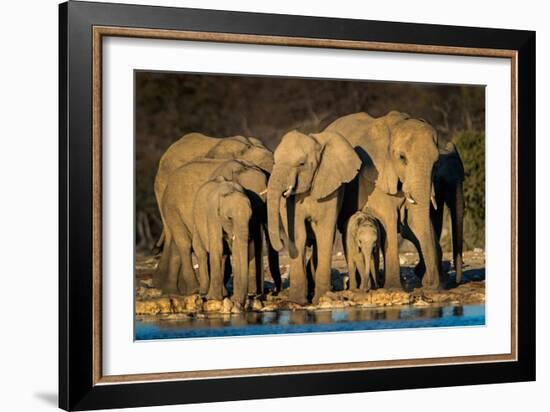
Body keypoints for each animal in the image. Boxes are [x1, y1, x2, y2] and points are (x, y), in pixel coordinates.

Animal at [155, 158, 282, 296]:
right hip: (172, 209)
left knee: (177, 245)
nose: (274, 291)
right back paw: (193, 290)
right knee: (185, 244)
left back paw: (172, 291)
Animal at [268, 130, 362, 304]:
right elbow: (299, 234)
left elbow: (324, 233)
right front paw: (298, 302)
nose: (281, 244)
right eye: (274, 162)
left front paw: (321, 298)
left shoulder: (331, 191)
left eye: (301, 164)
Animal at [328, 111, 444, 288]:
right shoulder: (374, 177)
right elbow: (389, 217)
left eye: (436, 162)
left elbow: (413, 221)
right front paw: (394, 288)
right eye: (402, 158)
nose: (430, 284)